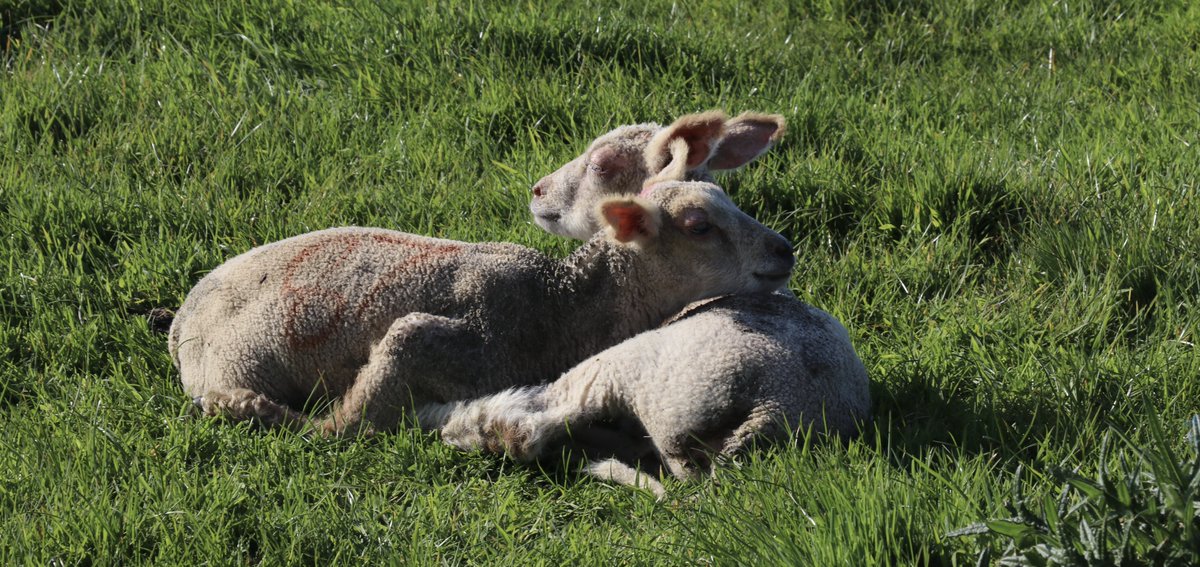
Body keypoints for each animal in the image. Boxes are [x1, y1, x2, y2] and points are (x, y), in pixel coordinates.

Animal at [168, 165, 796, 435]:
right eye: (698, 225)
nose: (785, 249)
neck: (561, 304)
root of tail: (181, 319)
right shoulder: (454, 333)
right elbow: (358, 411)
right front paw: (329, 429)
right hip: (230, 365)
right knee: (235, 403)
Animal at [424, 110, 870, 494]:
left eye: (602, 166)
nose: (537, 191)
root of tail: (772, 407)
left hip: (628, 370)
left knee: (533, 427)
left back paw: (460, 421)